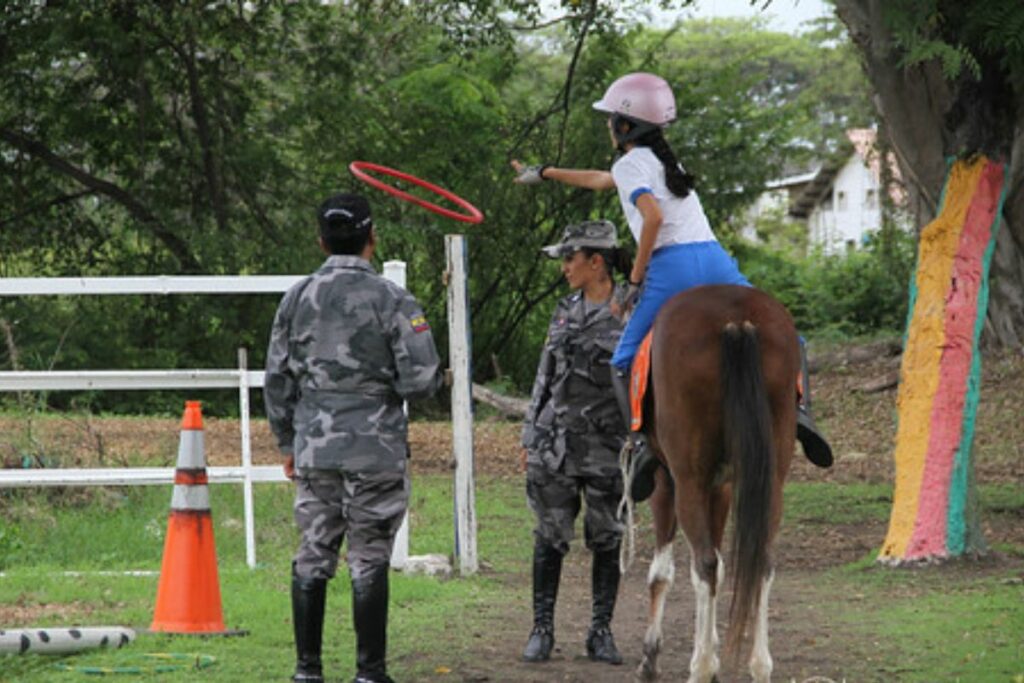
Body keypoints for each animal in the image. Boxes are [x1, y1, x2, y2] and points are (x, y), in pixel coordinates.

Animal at [634, 284, 794, 683]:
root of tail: (736, 320)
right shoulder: (721, 487)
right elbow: (722, 567)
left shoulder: (667, 481)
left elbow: (663, 572)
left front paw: (652, 656)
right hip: (772, 477)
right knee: (761, 560)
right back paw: (759, 665)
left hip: (688, 481)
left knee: (703, 563)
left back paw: (701, 667)